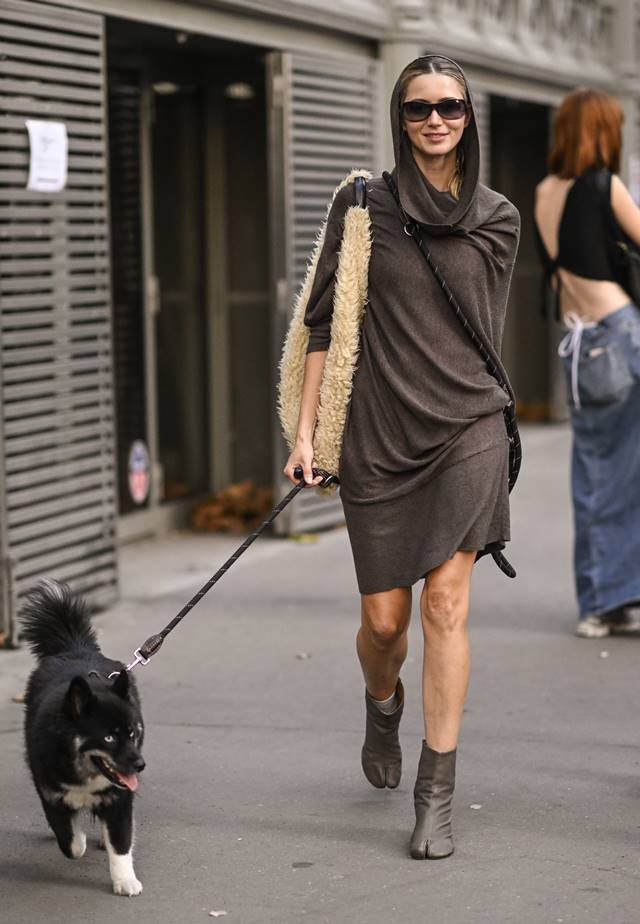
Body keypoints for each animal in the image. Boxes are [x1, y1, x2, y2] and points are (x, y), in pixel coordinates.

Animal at [19, 584, 147, 896]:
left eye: (133, 733)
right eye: (109, 737)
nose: (140, 765)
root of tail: (76, 648)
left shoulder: (120, 798)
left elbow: (121, 842)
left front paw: (125, 879)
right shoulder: (51, 795)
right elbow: (71, 842)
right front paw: (79, 838)